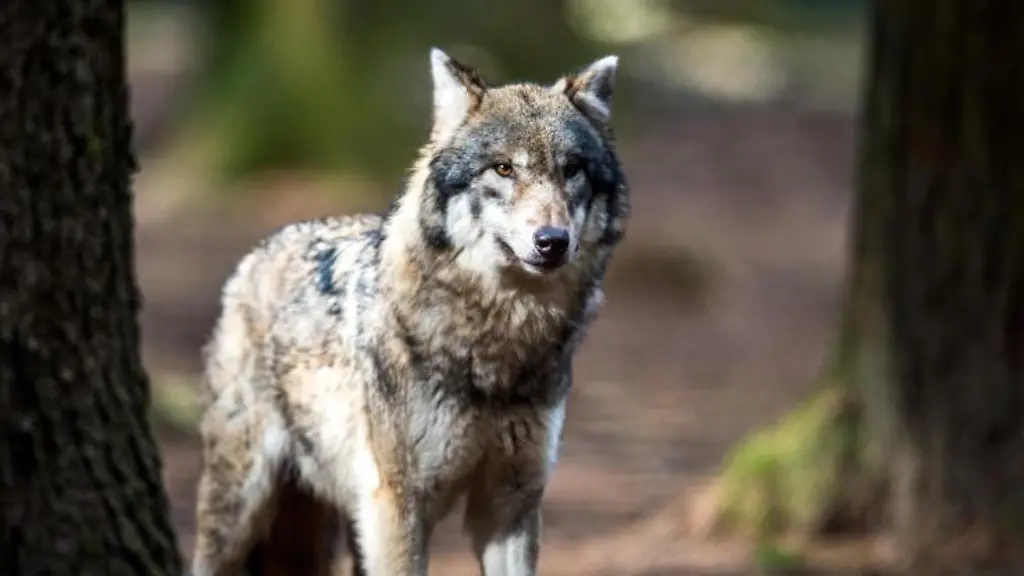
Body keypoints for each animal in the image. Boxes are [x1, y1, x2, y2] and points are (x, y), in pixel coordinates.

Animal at [190, 47, 630, 576]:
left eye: (572, 170)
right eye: (503, 169)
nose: (552, 241)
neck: (499, 342)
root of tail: (260, 250)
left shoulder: (511, 502)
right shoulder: (400, 503)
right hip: (240, 508)